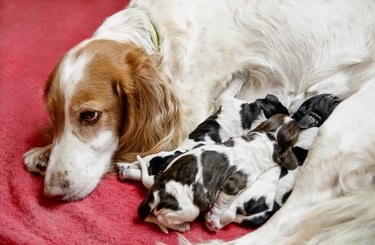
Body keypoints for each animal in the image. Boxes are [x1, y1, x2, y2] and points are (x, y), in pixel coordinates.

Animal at [137, 114, 300, 233]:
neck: (269, 137)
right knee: (163, 219)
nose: (295, 118)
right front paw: (213, 219)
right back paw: (181, 226)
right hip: (190, 210)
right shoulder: (234, 183)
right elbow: (221, 205)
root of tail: (154, 193)